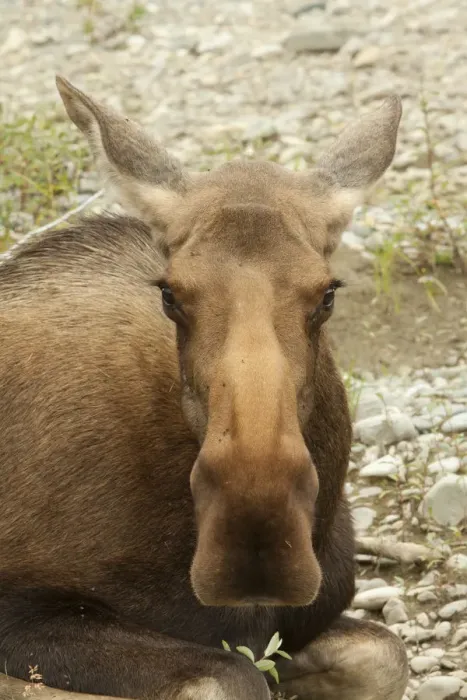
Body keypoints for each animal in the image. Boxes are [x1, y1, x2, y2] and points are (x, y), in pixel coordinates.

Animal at [0, 76, 407, 700]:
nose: (254, 541)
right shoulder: (23, 610)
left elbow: (386, 655)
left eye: (328, 293)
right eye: (170, 294)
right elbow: (228, 678)